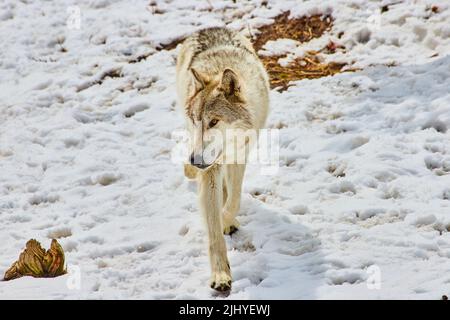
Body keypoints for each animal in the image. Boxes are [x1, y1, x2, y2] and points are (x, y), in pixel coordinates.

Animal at [175, 28, 268, 292]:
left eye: (214, 121)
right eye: (197, 120)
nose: (194, 160)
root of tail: (208, 27)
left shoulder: (240, 154)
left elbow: (234, 199)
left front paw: (227, 218)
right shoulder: (210, 168)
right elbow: (213, 230)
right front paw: (220, 275)